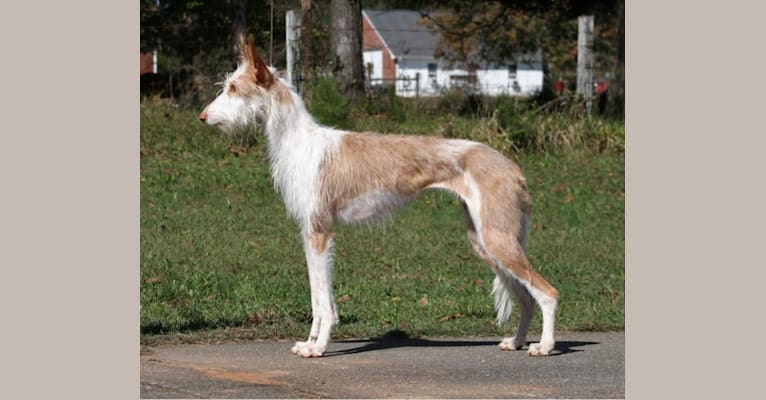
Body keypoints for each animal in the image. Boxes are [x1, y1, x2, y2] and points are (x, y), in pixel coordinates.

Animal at [198, 36, 560, 358]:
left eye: (233, 89)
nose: (202, 117)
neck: (300, 142)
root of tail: (511, 166)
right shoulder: (310, 235)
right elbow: (319, 298)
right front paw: (310, 343)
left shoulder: (320, 234)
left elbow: (323, 303)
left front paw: (318, 347)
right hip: (485, 241)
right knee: (526, 298)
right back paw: (516, 342)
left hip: (498, 240)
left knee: (548, 293)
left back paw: (543, 346)